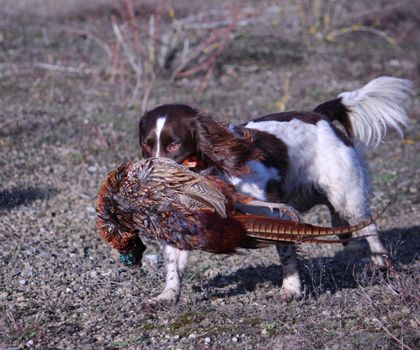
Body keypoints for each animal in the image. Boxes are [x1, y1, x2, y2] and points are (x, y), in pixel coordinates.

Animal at [139, 77, 414, 306]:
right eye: (147, 145)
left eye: (174, 144)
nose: (150, 177)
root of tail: (319, 115)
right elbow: (173, 263)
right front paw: (167, 295)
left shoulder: (275, 212)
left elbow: (286, 252)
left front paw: (291, 289)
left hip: (346, 194)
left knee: (368, 226)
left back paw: (381, 262)